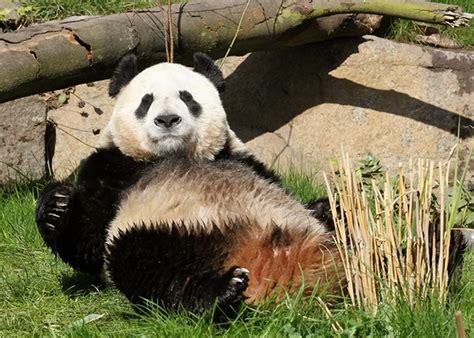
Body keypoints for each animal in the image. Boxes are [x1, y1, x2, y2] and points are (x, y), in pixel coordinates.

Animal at [35, 52, 342, 314]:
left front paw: (324, 206)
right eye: (146, 101)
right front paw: (56, 207)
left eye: (187, 97)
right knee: (150, 268)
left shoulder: (239, 158)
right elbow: (89, 242)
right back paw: (221, 292)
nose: (167, 119)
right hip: (151, 231)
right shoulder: (111, 167)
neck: (172, 155)